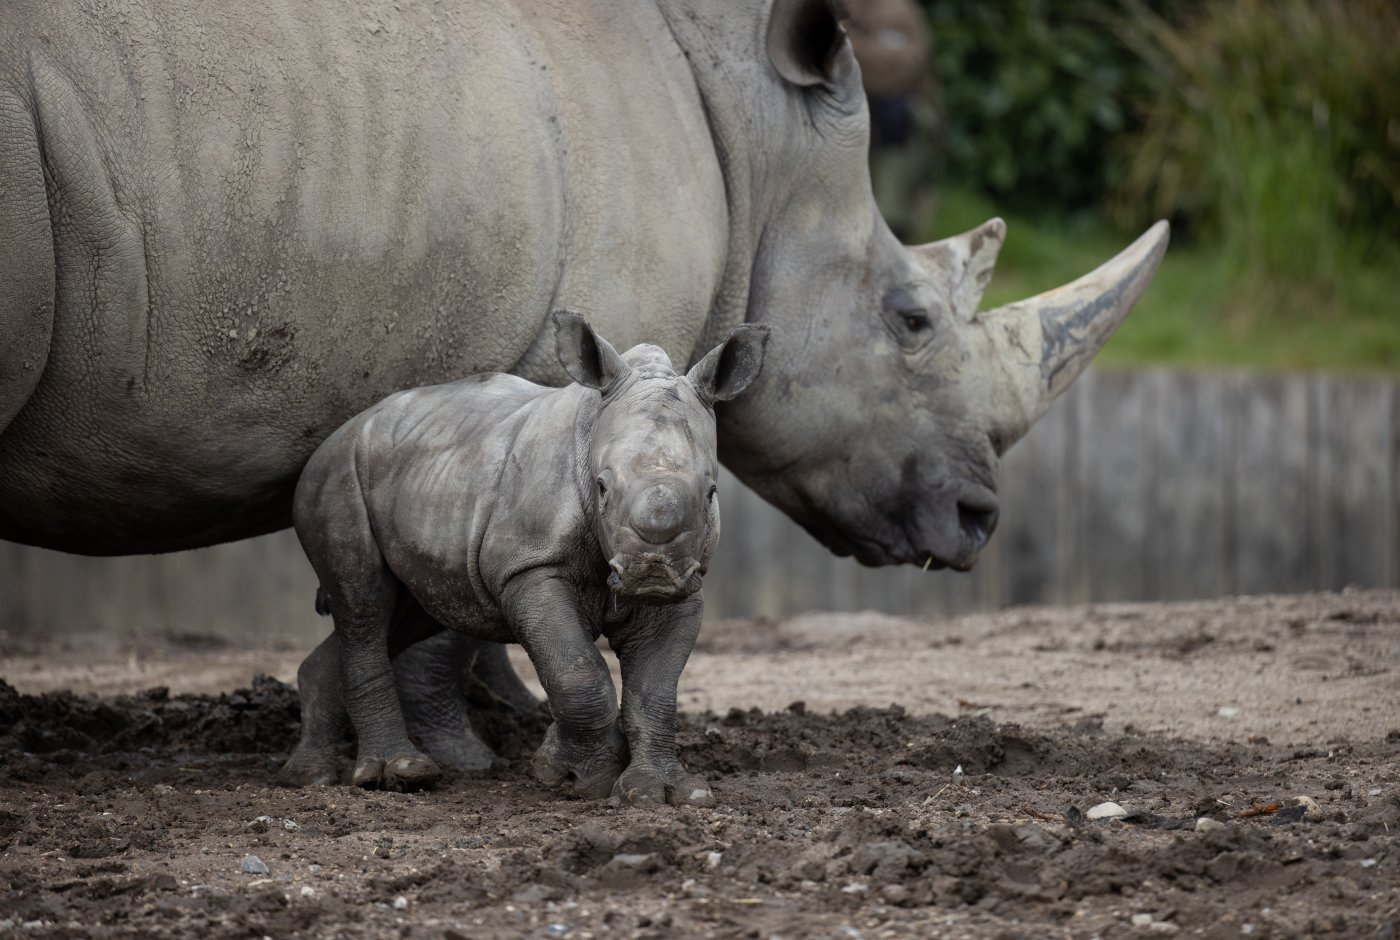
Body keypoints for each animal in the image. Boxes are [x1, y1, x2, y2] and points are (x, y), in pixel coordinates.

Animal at [280, 312, 772, 806]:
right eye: (601, 487)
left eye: (712, 493)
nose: (652, 571)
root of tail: (336, 434)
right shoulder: (529, 565)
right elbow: (576, 671)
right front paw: (580, 776)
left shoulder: (687, 582)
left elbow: (654, 691)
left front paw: (665, 792)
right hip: (336, 474)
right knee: (364, 603)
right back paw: (395, 773)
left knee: (411, 612)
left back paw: (311, 775)